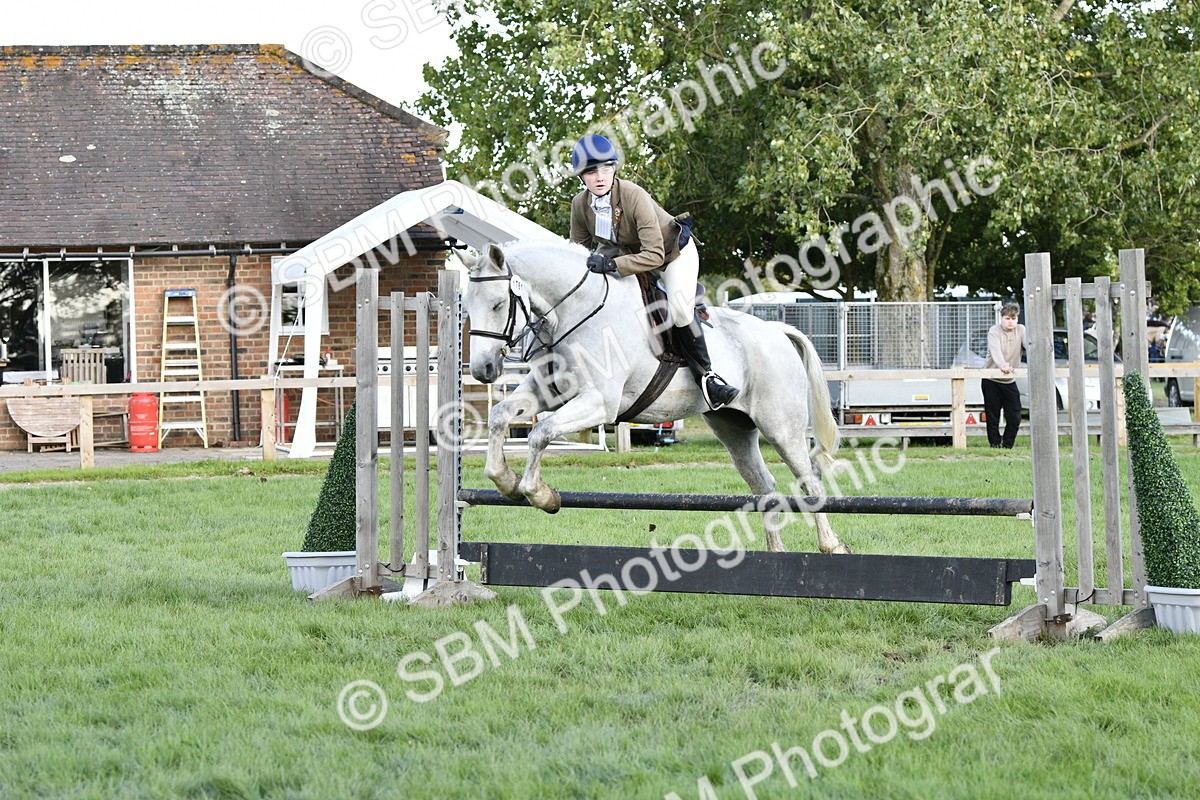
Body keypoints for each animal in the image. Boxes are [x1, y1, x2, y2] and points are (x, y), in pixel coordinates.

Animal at [459, 239, 850, 554]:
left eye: (498, 304)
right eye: (466, 306)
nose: (483, 369)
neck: (574, 312)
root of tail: (776, 331)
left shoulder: (599, 403)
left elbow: (541, 433)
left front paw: (541, 495)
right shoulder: (546, 393)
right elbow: (500, 416)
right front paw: (506, 481)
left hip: (781, 426)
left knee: (809, 480)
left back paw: (832, 545)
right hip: (733, 427)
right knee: (764, 485)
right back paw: (776, 550)